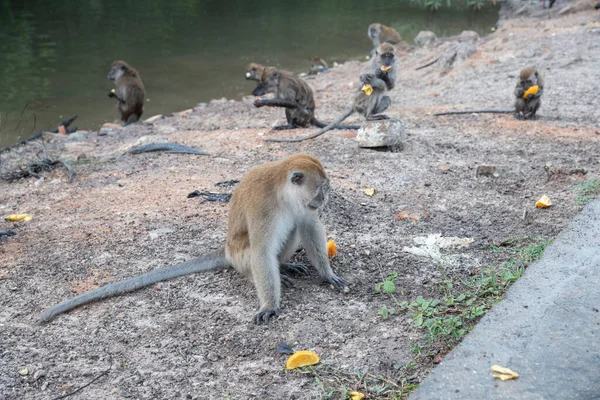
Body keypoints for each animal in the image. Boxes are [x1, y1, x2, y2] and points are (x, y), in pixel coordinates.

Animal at [37, 153, 344, 324]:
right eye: (321, 189)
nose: (325, 199)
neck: (283, 194)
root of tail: (225, 250)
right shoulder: (263, 206)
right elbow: (261, 251)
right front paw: (269, 304)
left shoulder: (301, 206)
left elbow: (309, 228)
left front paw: (327, 274)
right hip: (237, 254)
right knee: (254, 253)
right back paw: (268, 272)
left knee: (293, 229)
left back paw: (284, 265)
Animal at [268, 43, 398, 143]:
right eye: (385, 55)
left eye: (390, 55)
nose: (387, 61)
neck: (381, 64)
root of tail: (355, 105)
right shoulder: (372, 64)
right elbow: (364, 79)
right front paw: (372, 78)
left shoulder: (394, 65)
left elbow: (390, 86)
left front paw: (385, 77)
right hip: (361, 103)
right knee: (372, 91)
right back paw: (369, 116)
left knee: (385, 97)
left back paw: (374, 115)